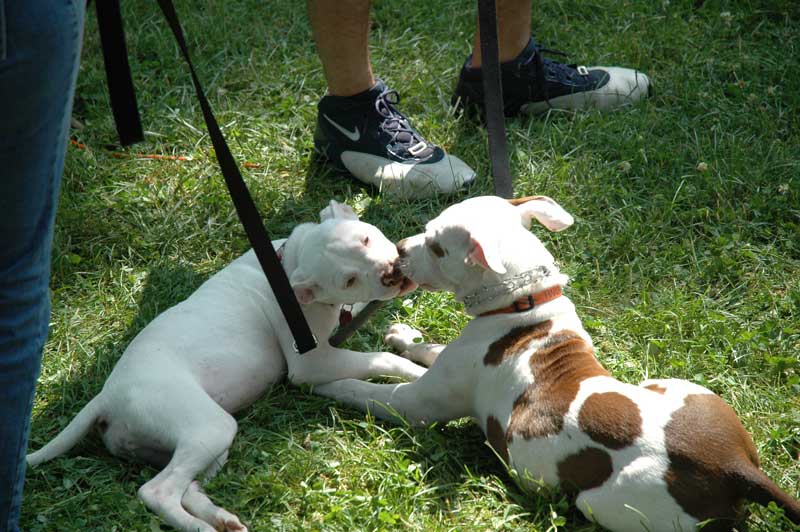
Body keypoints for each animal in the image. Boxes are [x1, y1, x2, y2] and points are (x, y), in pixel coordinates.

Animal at [26, 201, 424, 532]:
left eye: (366, 238)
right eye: (348, 280)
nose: (391, 272)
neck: (286, 265)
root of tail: (107, 397)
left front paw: (405, 331)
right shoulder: (312, 363)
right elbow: (381, 358)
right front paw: (418, 371)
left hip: (196, 443)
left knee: (187, 485)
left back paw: (220, 518)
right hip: (209, 426)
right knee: (157, 491)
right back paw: (200, 527)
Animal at [318, 195, 800, 532]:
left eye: (436, 247)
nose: (400, 248)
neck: (524, 303)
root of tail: (735, 466)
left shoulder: (417, 404)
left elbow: (372, 391)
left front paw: (330, 386)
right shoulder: (454, 357)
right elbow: (428, 349)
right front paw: (404, 336)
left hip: (604, 501)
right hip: (679, 385)